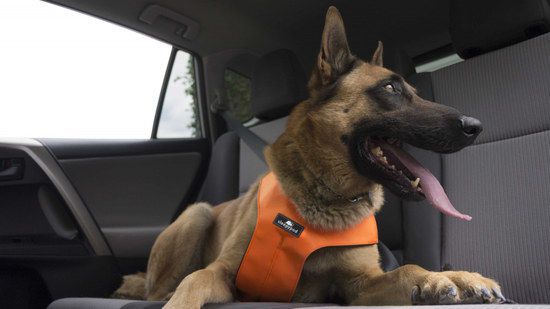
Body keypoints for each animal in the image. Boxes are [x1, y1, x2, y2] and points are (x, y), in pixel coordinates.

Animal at [114, 6, 506, 306]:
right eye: (390, 88)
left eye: (416, 90)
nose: (475, 125)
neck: (325, 197)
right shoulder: (221, 272)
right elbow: (194, 281)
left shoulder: (358, 286)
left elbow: (408, 269)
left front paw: (452, 277)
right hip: (198, 214)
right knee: (159, 291)